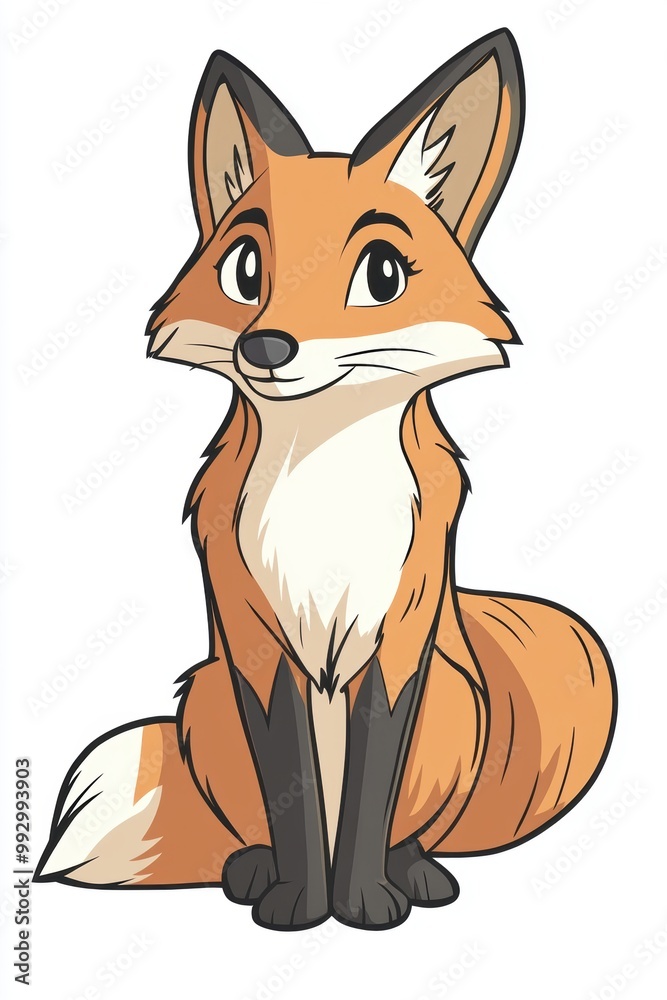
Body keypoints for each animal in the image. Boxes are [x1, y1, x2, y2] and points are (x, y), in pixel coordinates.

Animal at [36, 28, 617, 931]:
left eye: (380, 276)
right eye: (245, 269)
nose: (266, 346)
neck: (323, 490)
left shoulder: (400, 635)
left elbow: (373, 773)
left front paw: (364, 903)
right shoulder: (254, 642)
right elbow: (294, 790)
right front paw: (301, 906)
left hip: (452, 700)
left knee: (410, 827)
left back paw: (414, 871)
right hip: (208, 698)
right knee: (249, 826)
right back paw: (249, 869)